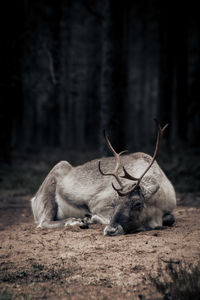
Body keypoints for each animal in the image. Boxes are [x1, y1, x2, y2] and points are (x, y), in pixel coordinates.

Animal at [30, 120, 176, 236]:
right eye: (115, 202)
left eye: (138, 203)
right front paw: (89, 218)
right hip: (51, 187)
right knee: (43, 222)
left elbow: (170, 218)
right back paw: (76, 221)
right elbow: (101, 216)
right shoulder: (98, 203)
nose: (111, 230)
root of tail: (33, 199)